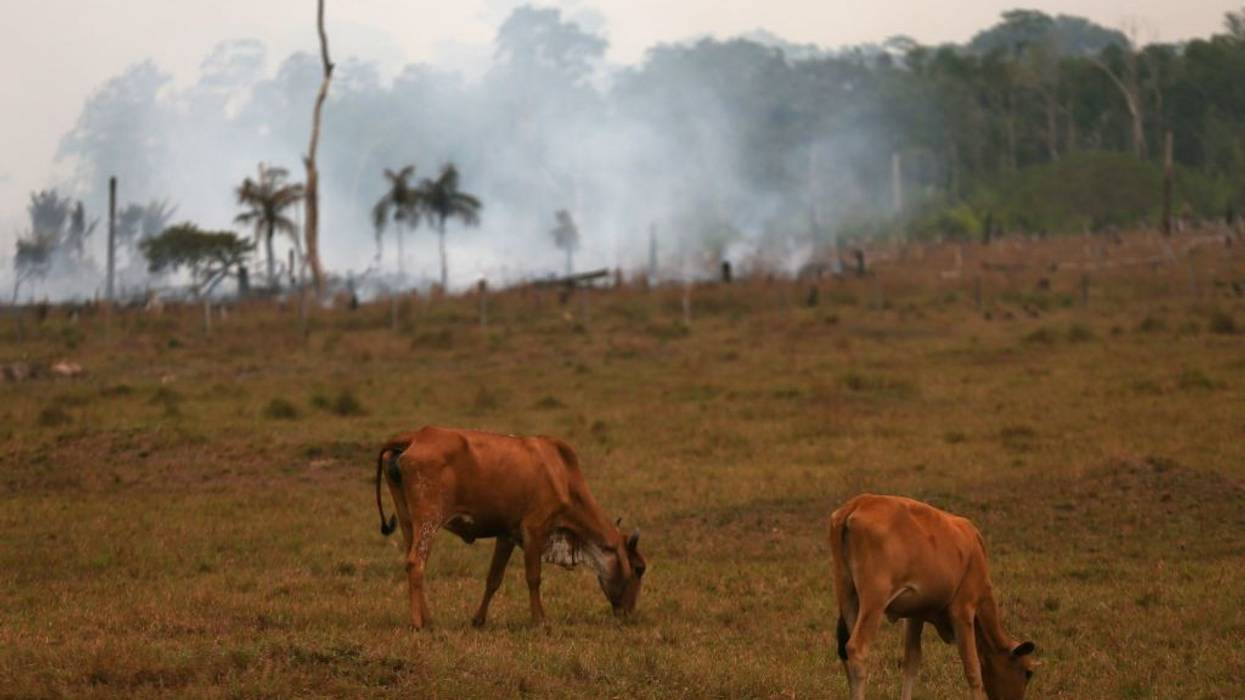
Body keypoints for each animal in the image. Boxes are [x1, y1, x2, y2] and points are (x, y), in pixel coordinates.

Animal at [374, 426, 646, 629]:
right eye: (639, 569)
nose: (629, 614)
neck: (563, 476)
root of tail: (416, 436)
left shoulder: (507, 535)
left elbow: (493, 579)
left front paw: (478, 620)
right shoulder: (534, 530)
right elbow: (534, 578)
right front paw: (540, 621)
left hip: (408, 521)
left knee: (411, 559)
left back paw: (428, 619)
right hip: (429, 519)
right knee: (416, 563)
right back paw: (417, 623)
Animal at [829, 494, 1036, 700]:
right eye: (1028, 672)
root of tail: (859, 502)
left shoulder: (914, 614)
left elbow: (912, 662)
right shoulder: (963, 611)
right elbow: (972, 669)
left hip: (848, 596)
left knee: (846, 650)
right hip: (874, 601)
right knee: (856, 649)